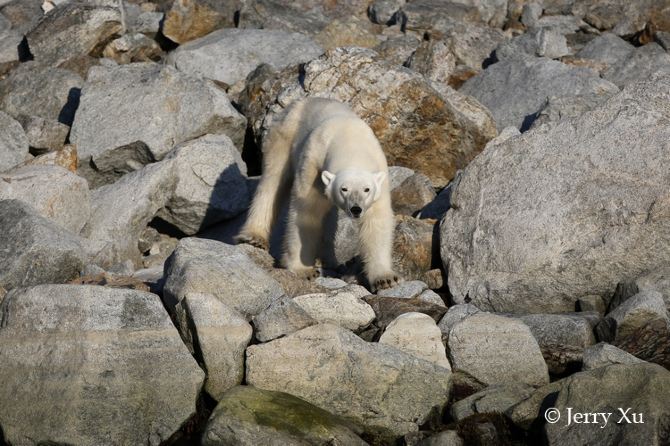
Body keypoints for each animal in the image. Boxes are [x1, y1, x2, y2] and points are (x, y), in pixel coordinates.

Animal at [238, 97, 402, 290]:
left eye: (366, 189)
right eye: (344, 189)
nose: (356, 209)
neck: (350, 142)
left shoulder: (380, 174)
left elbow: (376, 220)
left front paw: (385, 279)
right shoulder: (313, 163)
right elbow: (307, 212)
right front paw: (303, 270)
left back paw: (328, 260)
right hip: (284, 136)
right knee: (273, 181)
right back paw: (254, 237)